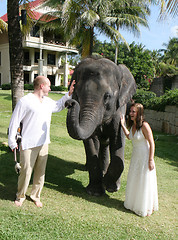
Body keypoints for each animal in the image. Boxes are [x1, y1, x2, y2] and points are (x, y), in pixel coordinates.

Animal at [65, 57, 136, 196]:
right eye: (77, 94)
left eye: (107, 96)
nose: (70, 103)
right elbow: (92, 141)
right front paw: (95, 192)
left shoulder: (119, 111)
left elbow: (118, 140)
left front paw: (110, 186)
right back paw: (87, 168)